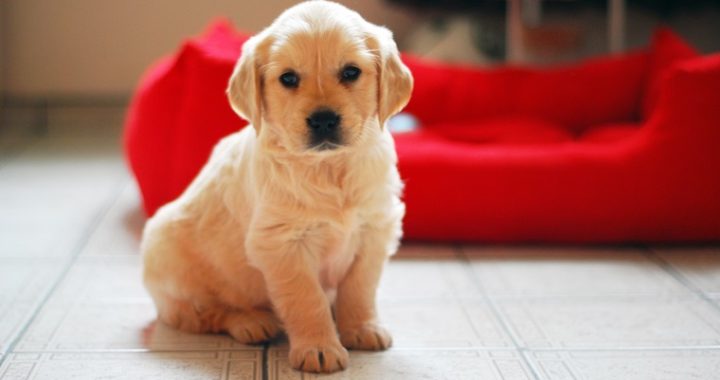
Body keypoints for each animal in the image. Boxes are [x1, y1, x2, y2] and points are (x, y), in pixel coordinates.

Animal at [141, 0, 410, 374]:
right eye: (288, 78)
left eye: (351, 72)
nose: (324, 120)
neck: (328, 168)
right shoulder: (282, 244)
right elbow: (306, 298)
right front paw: (319, 347)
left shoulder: (375, 229)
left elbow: (359, 287)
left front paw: (362, 327)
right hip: (169, 259)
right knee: (204, 312)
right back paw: (251, 322)